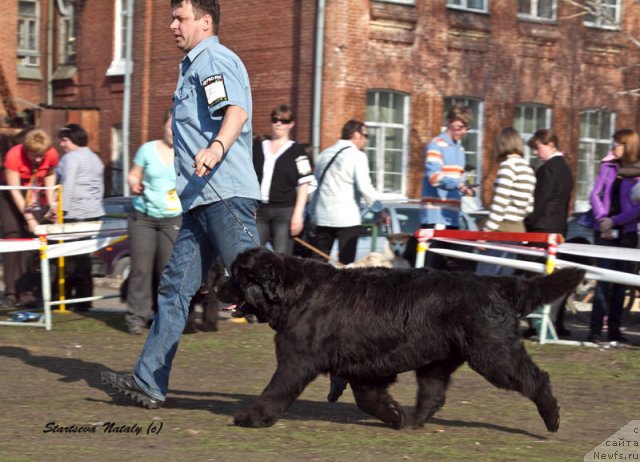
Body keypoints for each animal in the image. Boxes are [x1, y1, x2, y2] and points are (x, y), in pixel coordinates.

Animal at [225, 247, 584, 432]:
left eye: (237, 276)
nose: (216, 285)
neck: (293, 292)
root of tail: (498, 284)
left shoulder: (296, 360)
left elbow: (275, 390)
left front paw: (251, 418)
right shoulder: (362, 366)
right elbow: (368, 398)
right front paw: (395, 414)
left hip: (493, 354)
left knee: (536, 378)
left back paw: (552, 418)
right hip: (440, 359)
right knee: (433, 393)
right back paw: (413, 421)